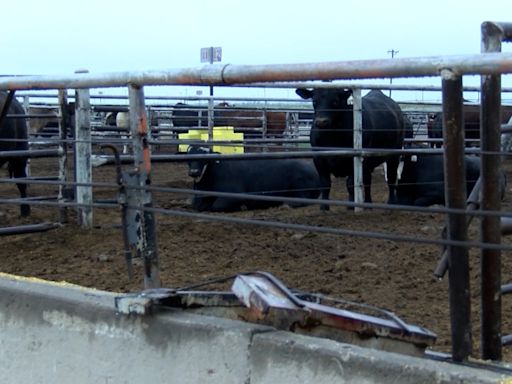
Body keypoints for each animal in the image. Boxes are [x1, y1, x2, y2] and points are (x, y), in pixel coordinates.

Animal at [186, 146, 322, 212]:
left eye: (205, 158)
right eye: (189, 158)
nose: (194, 172)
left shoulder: (235, 194)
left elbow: (216, 206)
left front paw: (241, 207)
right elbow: (195, 204)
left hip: (300, 186)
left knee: (303, 200)